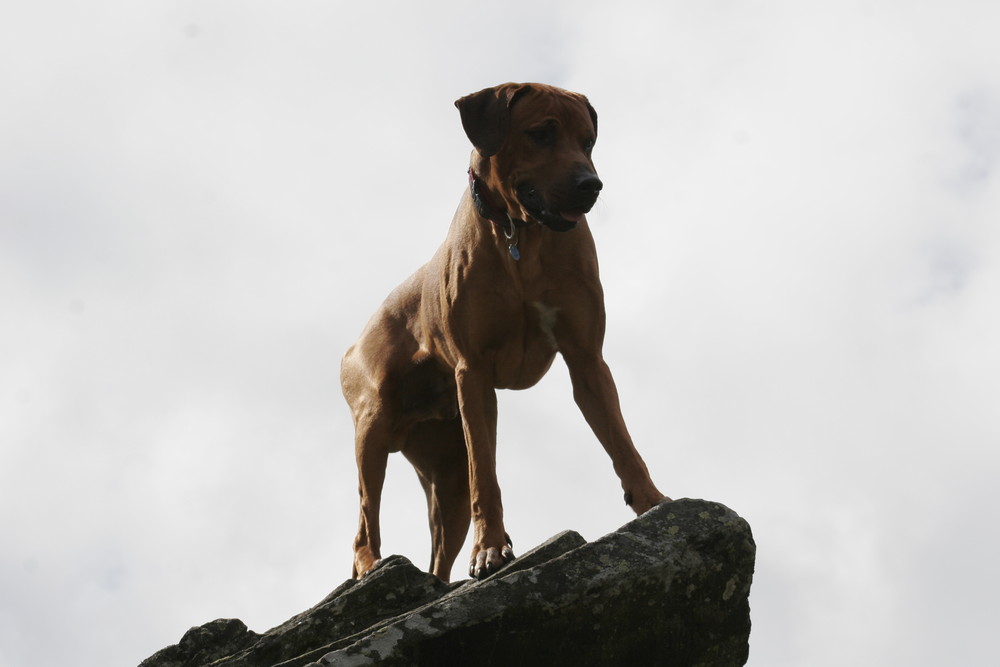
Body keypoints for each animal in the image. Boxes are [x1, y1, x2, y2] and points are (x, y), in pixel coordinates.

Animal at [340, 82, 668, 584]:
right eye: (541, 133)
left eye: (588, 142)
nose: (591, 185)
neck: (522, 235)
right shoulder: (473, 372)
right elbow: (487, 476)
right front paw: (490, 549)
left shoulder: (587, 359)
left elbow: (622, 443)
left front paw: (654, 502)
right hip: (373, 423)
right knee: (364, 515)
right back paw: (370, 564)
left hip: (447, 477)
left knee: (438, 555)